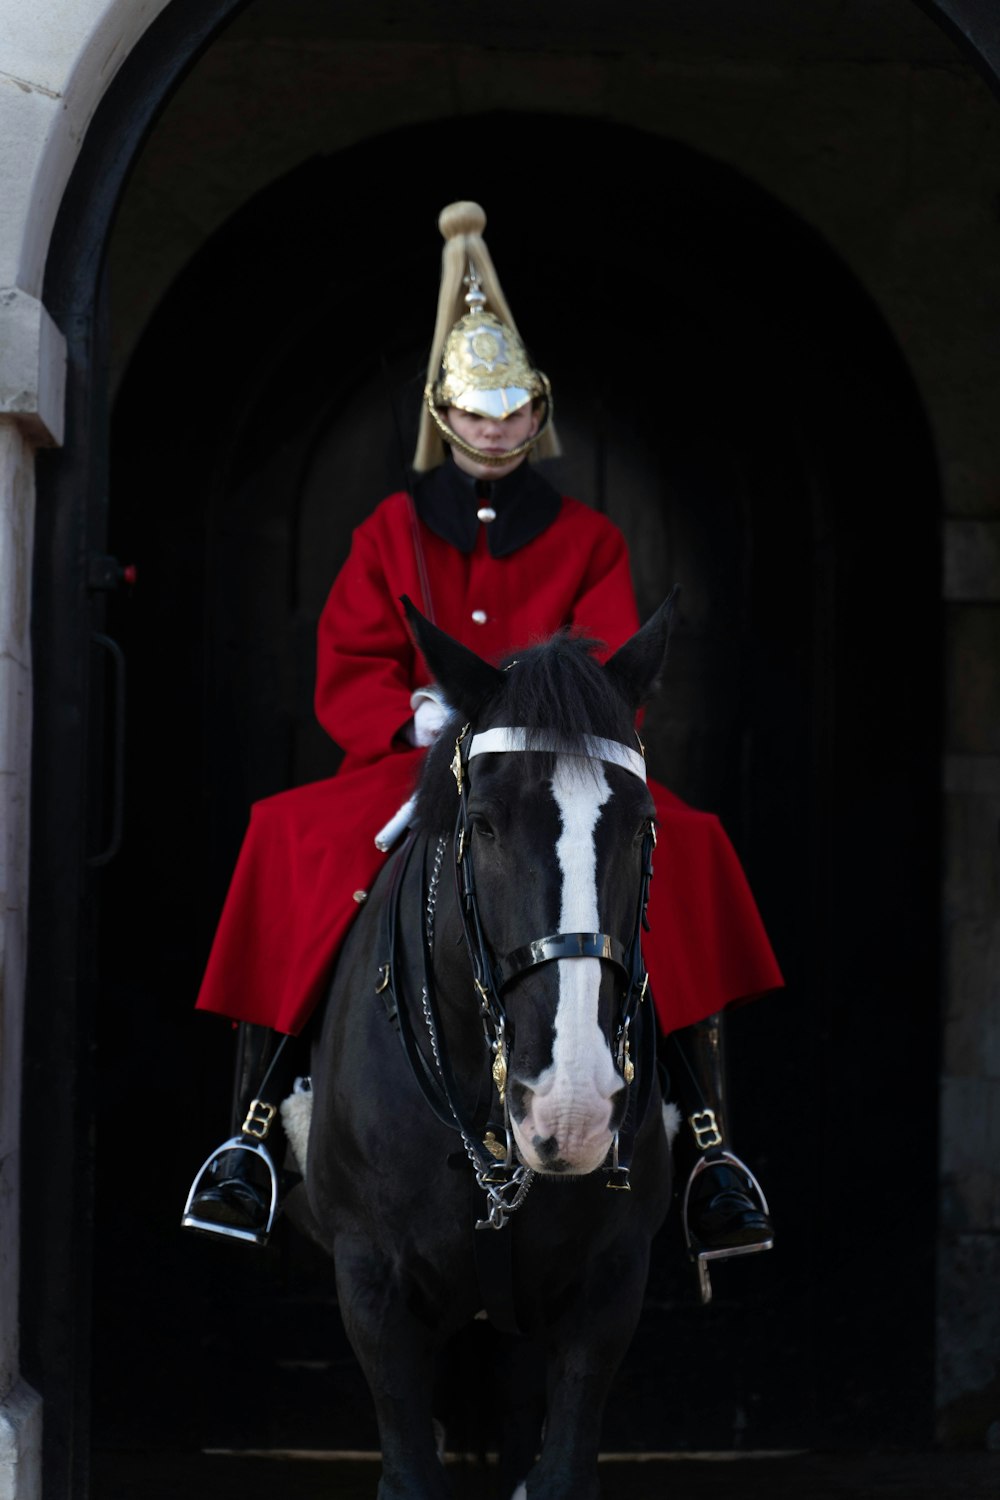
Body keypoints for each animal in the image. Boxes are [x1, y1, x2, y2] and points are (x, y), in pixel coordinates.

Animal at [305, 597, 677, 1500]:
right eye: (482, 824)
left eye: (643, 825)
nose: (570, 1109)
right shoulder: (370, 1283)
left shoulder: (611, 1282)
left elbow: (561, 1469)